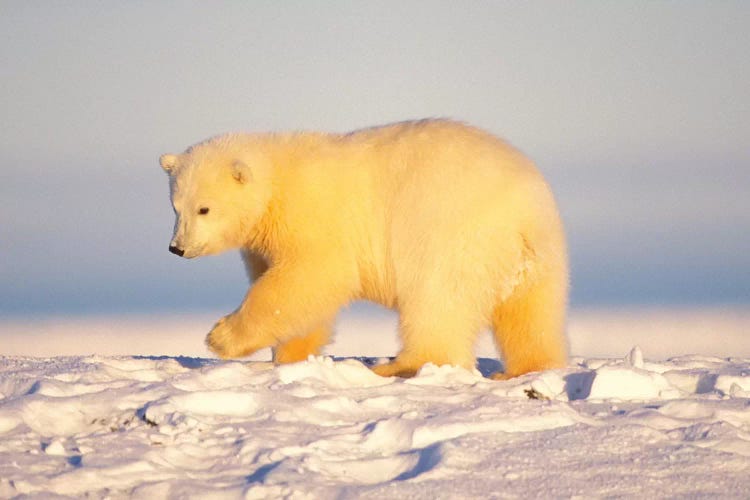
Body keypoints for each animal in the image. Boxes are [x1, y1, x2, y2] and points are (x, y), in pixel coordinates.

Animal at [160, 120, 568, 378]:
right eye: (176, 206)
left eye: (204, 208)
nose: (177, 248)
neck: (278, 185)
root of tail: (523, 217)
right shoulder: (267, 243)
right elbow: (299, 297)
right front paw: (292, 356)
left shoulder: (314, 217)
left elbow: (307, 278)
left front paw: (220, 337)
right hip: (540, 258)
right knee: (531, 315)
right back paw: (525, 369)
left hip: (451, 235)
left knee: (436, 302)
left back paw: (399, 366)